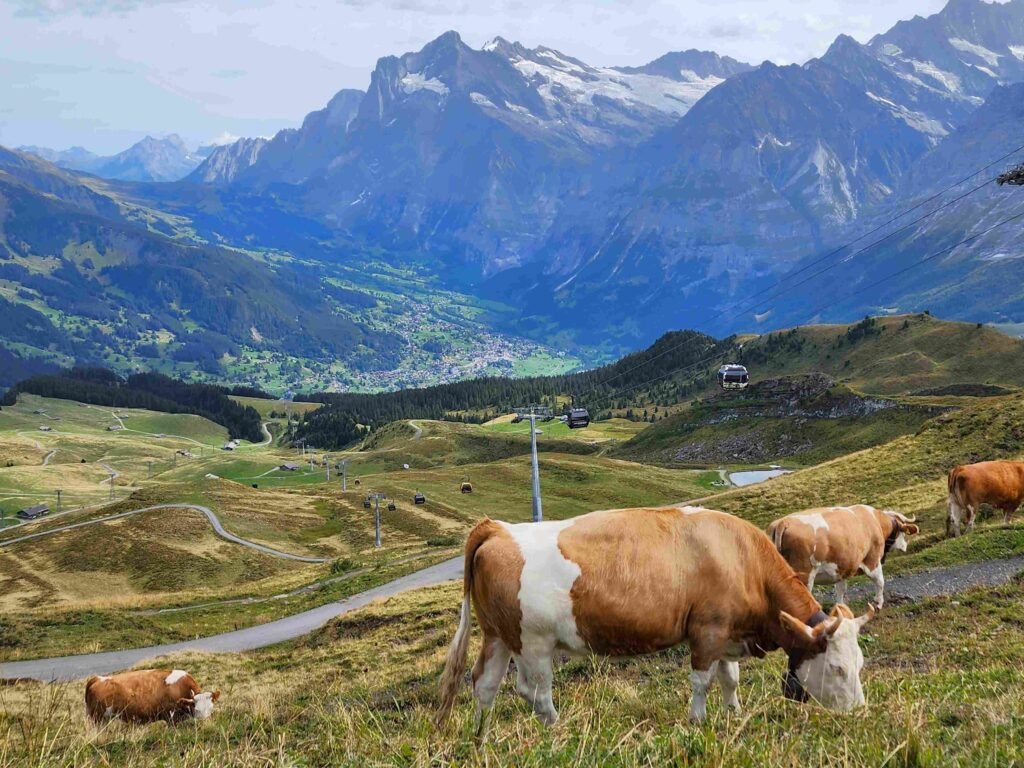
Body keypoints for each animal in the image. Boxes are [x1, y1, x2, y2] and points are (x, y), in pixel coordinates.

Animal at [83, 667, 220, 729]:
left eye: (211, 708)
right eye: (197, 710)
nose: (206, 724)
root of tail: (98, 678)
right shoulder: (171, 719)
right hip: (97, 719)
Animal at [436, 505, 876, 741]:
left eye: (860, 665)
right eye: (837, 668)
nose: (859, 714)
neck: (741, 559)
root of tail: (497, 529)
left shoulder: (728, 632)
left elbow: (730, 678)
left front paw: (733, 712)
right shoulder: (707, 631)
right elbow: (702, 681)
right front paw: (698, 721)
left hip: (498, 635)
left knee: (484, 684)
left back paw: (481, 736)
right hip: (533, 642)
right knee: (533, 691)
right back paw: (557, 728)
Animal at [761, 507, 921, 610]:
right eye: (903, 532)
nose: (905, 546)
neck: (876, 521)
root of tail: (783, 522)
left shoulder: (843, 566)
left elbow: (840, 590)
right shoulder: (872, 560)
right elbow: (880, 582)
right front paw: (879, 603)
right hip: (804, 575)